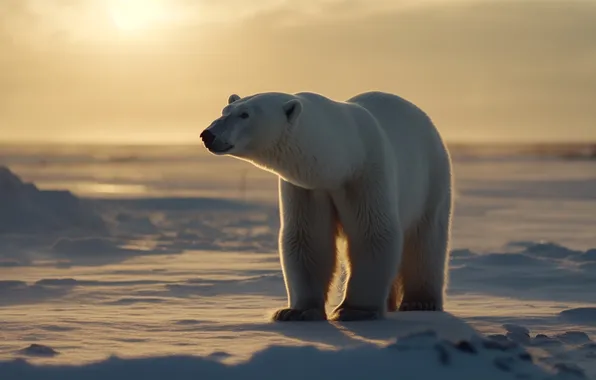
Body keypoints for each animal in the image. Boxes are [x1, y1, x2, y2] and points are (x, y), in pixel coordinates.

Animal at [200, 91, 452, 320]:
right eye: (225, 111)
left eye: (245, 114)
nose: (207, 135)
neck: (343, 157)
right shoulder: (307, 187)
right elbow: (307, 239)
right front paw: (295, 311)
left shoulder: (366, 174)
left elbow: (373, 233)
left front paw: (353, 310)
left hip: (431, 180)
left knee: (425, 241)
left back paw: (420, 302)